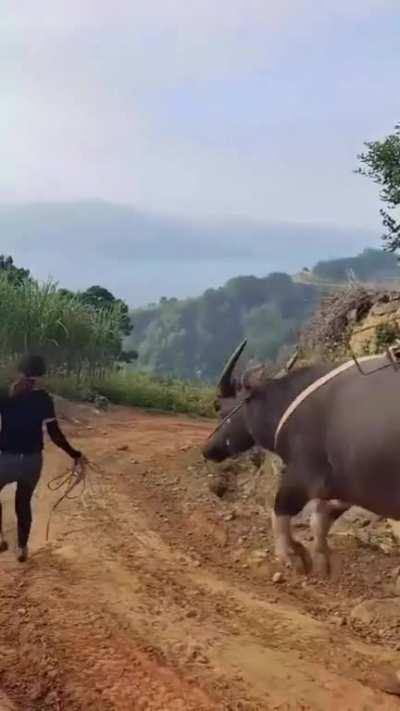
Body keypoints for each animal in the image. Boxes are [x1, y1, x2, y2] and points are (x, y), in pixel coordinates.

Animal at [203, 340, 400, 576]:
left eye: (222, 409)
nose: (207, 449)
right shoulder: (345, 487)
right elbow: (320, 519)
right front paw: (321, 559)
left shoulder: (303, 476)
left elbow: (280, 510)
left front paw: (292, 554)